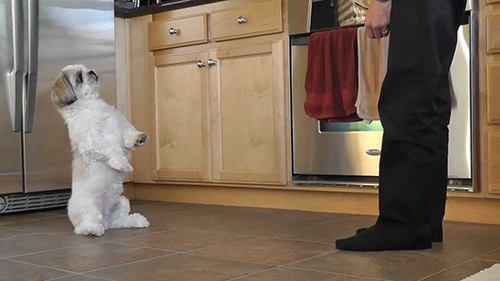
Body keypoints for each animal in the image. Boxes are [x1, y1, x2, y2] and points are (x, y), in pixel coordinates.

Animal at [54, 64, 150, 235]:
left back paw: (136, 221)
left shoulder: (120, 126)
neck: (91, 105)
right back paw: (92, 230)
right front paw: (122, 164)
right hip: (89, 208)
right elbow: (112, 148)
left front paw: (138, 139)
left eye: (86, 69)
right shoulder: (94, 141)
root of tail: (105, 221)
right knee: (83, 226)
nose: (91, 72)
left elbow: (128, 135)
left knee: (119, 221)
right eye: (79, 78)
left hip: (122, 202)